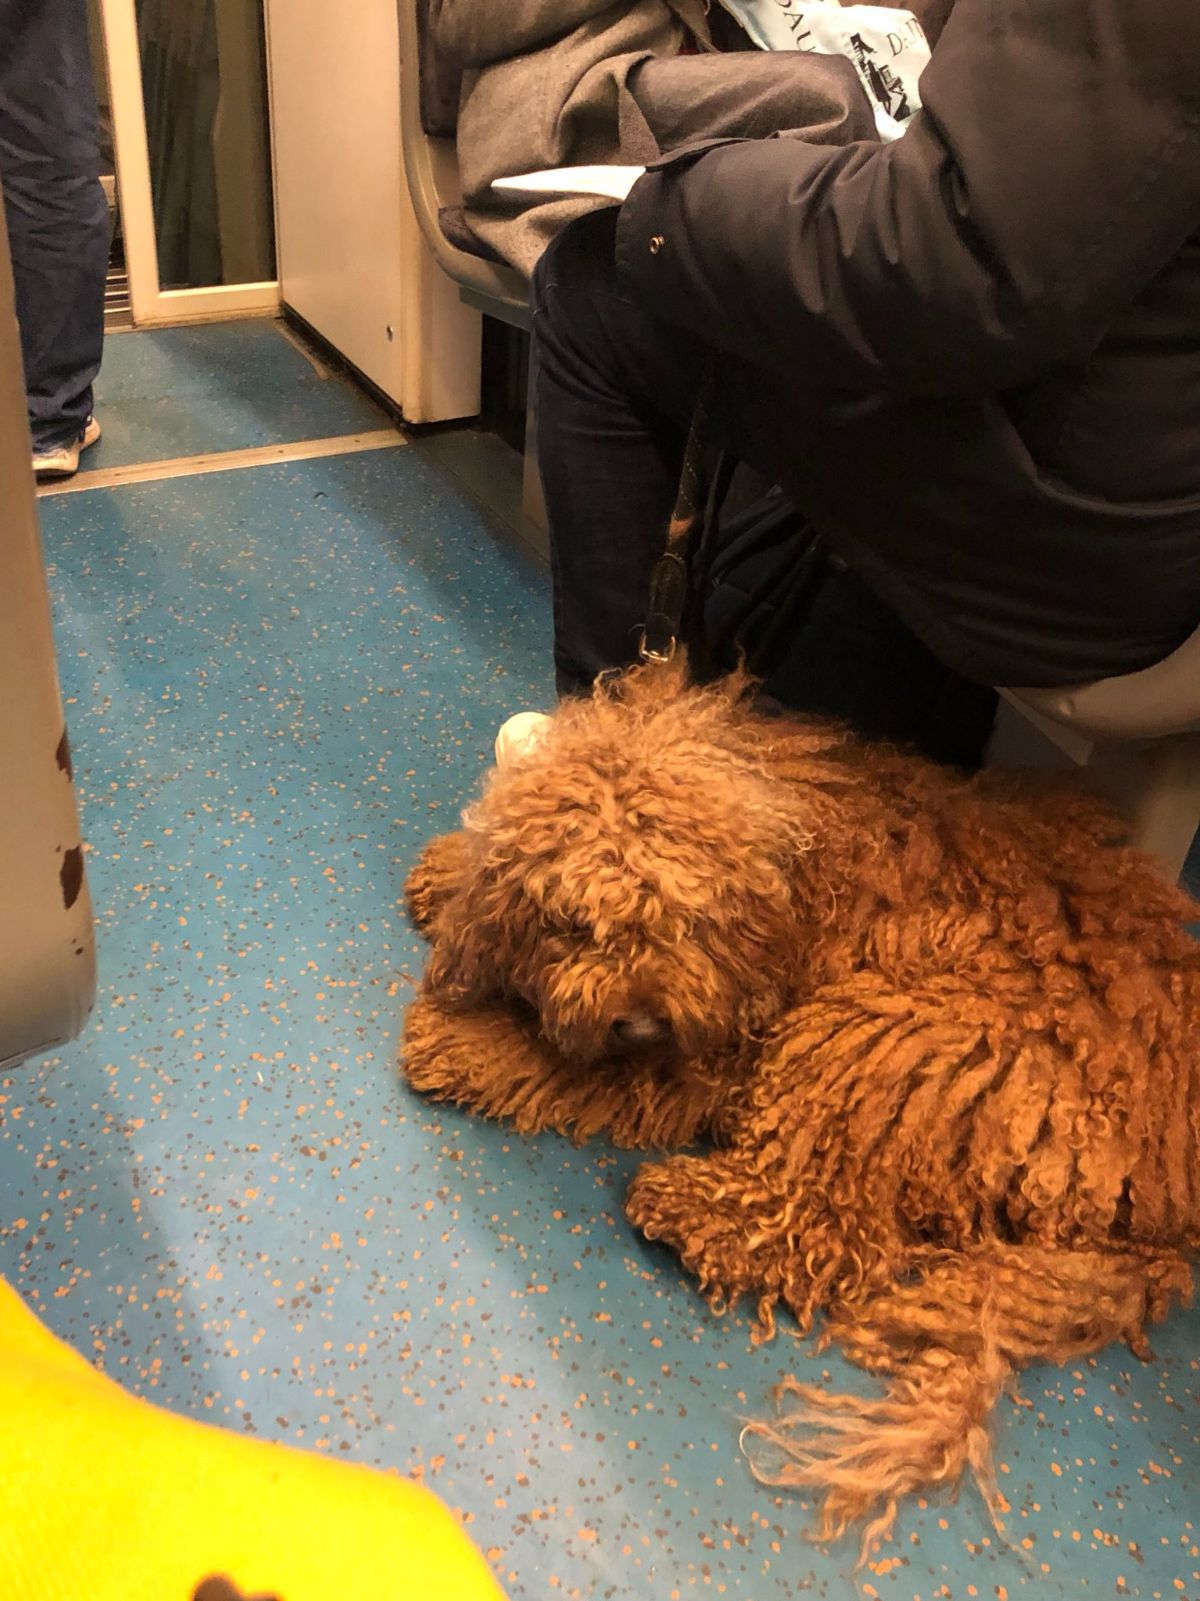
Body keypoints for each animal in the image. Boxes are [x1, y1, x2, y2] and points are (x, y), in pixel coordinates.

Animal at [404, 662, 1200, 1549]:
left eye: (687, 920)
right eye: (578, 923)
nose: (640, 1022)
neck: (785, 869)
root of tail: (1161, 1216)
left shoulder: (720, 1046)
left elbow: (598, 1074)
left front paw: (460, 1041)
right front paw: (449, 876)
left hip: (888, 1032)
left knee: (820, 1230)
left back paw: (689, 1206)